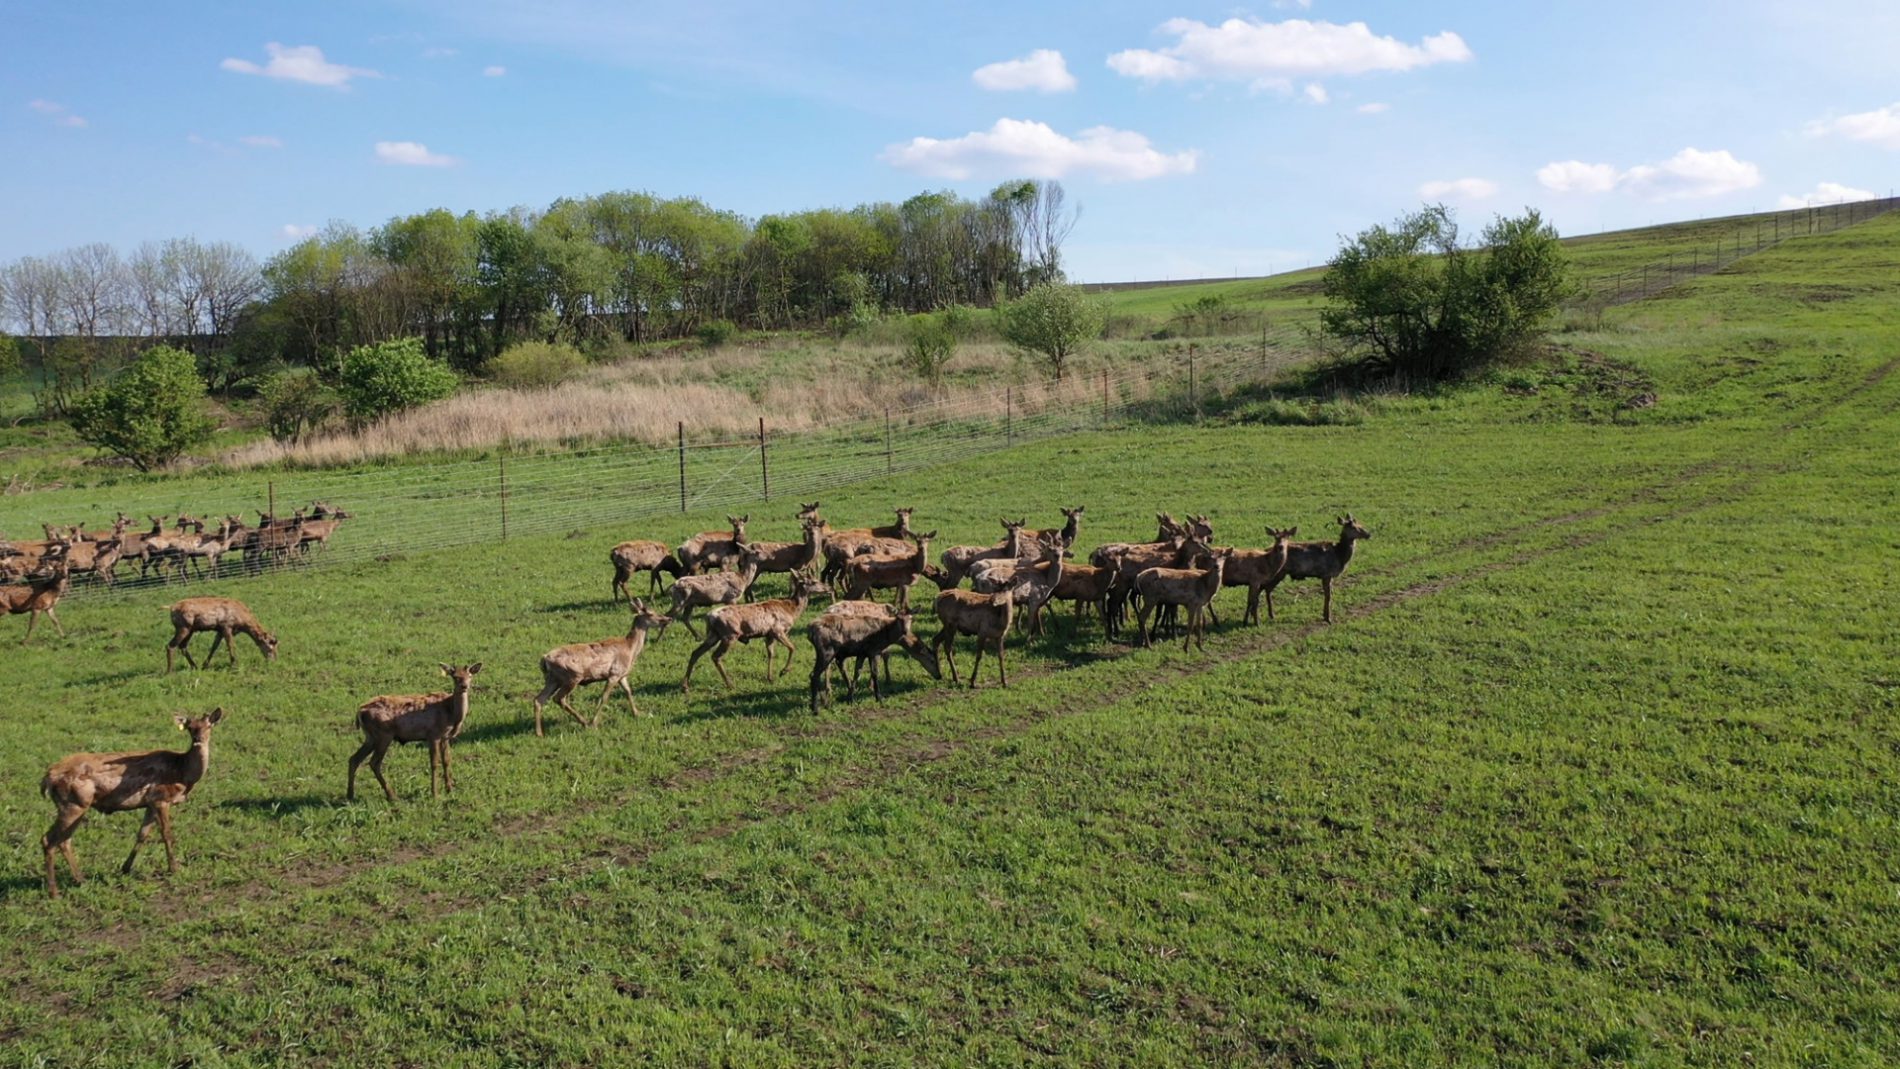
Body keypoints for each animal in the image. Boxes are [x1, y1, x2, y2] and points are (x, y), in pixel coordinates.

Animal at [39, 706, 223, 900]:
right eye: (190, 727)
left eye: (208, 725)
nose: (197, 740)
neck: (183, 773)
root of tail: (47, 778)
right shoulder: (161, 797)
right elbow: (167, 834)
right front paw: (174, 868)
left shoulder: (150, 802)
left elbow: (142, 834)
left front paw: (125, 868)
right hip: (73, 803)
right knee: (49, 839)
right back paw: (54, 892)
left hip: (78, 805)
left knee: (64, 840)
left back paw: (80, 880)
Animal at [351, 660, 486, 805]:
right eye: (455, 677)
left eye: (470, 676)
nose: (464, 686)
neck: (451, 714)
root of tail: (359, 712)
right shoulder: (433, 734)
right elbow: (434, 763)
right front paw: (435, 794)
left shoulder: (445, 737)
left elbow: (447, 761)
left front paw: (450, 789)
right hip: (383, 734)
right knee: (374, 763)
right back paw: (392, 796)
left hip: (370, 737)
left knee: (354, 758)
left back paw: (350, 795)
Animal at [535, 592, 676, 736]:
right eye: (651, 613)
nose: (668, 618)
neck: (630, 649)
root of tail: (545, 659)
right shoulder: (614, 673)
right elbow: (604, 697)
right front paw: (594, 723)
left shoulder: (622, 674)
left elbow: (628, 691)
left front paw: (638, 713)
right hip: (572, 676)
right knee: (559, 698)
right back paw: (584, 723)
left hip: (553, 679)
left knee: (539, 699)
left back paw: (539, 733)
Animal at [687, 569, 828, 694]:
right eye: (814, 581)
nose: (827, 587)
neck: (791, 610)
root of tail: (709, 617)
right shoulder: (778, 630)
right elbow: (792, 647)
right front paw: (783, 671)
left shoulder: (769, 634)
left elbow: (771, 653)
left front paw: (770, 677)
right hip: (729, 634)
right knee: (715, 656)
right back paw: (730, 684)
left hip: (713, 634)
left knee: (696, 653)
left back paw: (685, 686)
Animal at [809, 603, 942, 710]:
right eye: (932, 660)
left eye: (911, 618)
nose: (939, 676)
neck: (886, 637)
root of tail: (810, 630)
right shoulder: (874, 650)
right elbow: (875, 672)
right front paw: (879, 697)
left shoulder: (862, 653)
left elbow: (857, 673)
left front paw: (850, 697)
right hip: (826, 651)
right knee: (815, 674)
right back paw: (817, 706)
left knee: (817, 673)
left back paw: (821, 702)